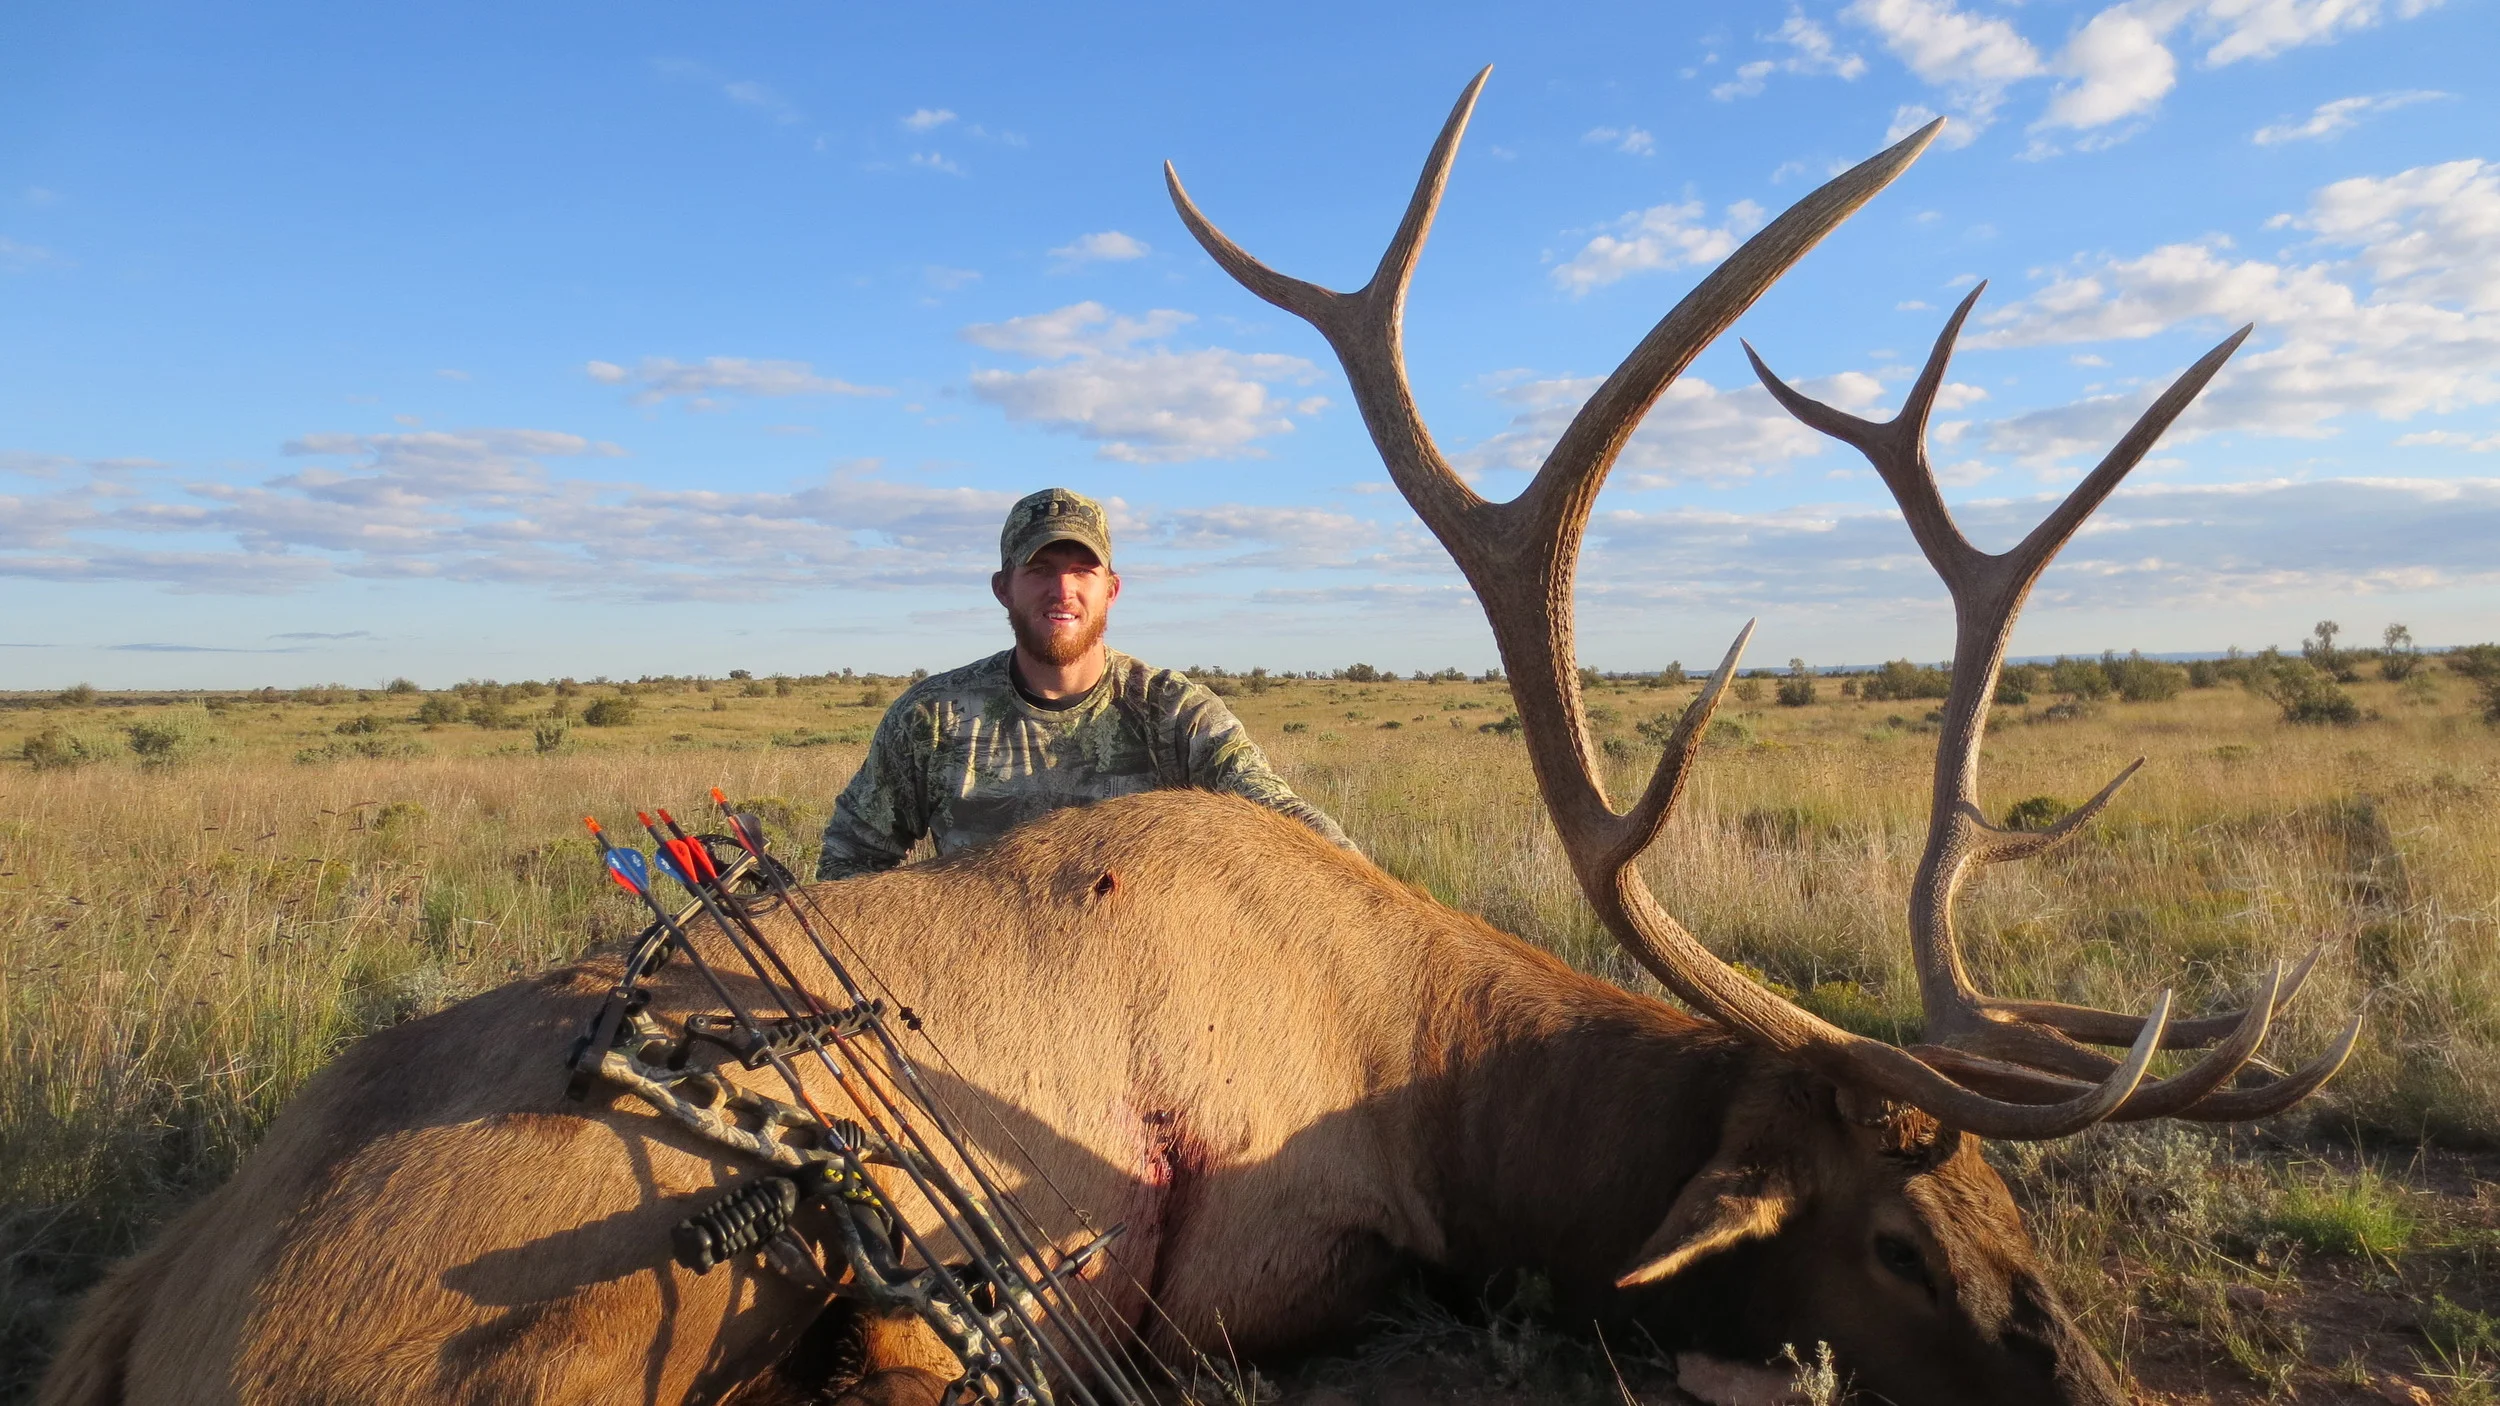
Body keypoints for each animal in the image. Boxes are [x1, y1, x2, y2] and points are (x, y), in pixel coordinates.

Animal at [40, 70, 2360, 1406]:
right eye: (1890, 1232)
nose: (2105, 1395)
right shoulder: (1272, 1263)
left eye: (2021, 1218)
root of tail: (136, 1300)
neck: (1438, 1080)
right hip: (580, 1318)